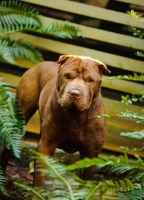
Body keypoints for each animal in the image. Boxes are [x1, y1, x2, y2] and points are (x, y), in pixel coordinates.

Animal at [1, 54, 111, 186]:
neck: (75, 117)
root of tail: (41, 63)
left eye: (90, 80)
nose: (74, 93)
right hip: (21, 114)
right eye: (67, 76)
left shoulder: (90, 155)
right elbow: (41, 179)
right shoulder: (47, 146)